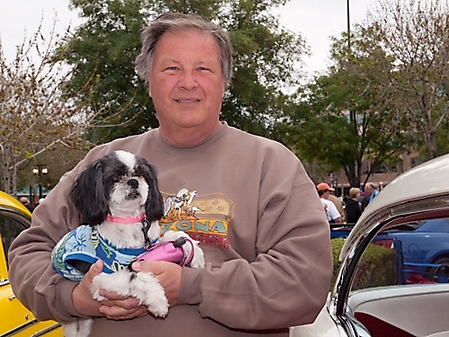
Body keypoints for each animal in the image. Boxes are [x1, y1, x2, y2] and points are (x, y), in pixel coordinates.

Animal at [50, 150, 203, 336]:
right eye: (115, 177)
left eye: (142, 174)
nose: (133, 181)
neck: (129, 220)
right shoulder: (100, 277)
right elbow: (134, 275)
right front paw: (158, 298)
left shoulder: (150, 246)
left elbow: (172, 237)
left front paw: (194, 252)